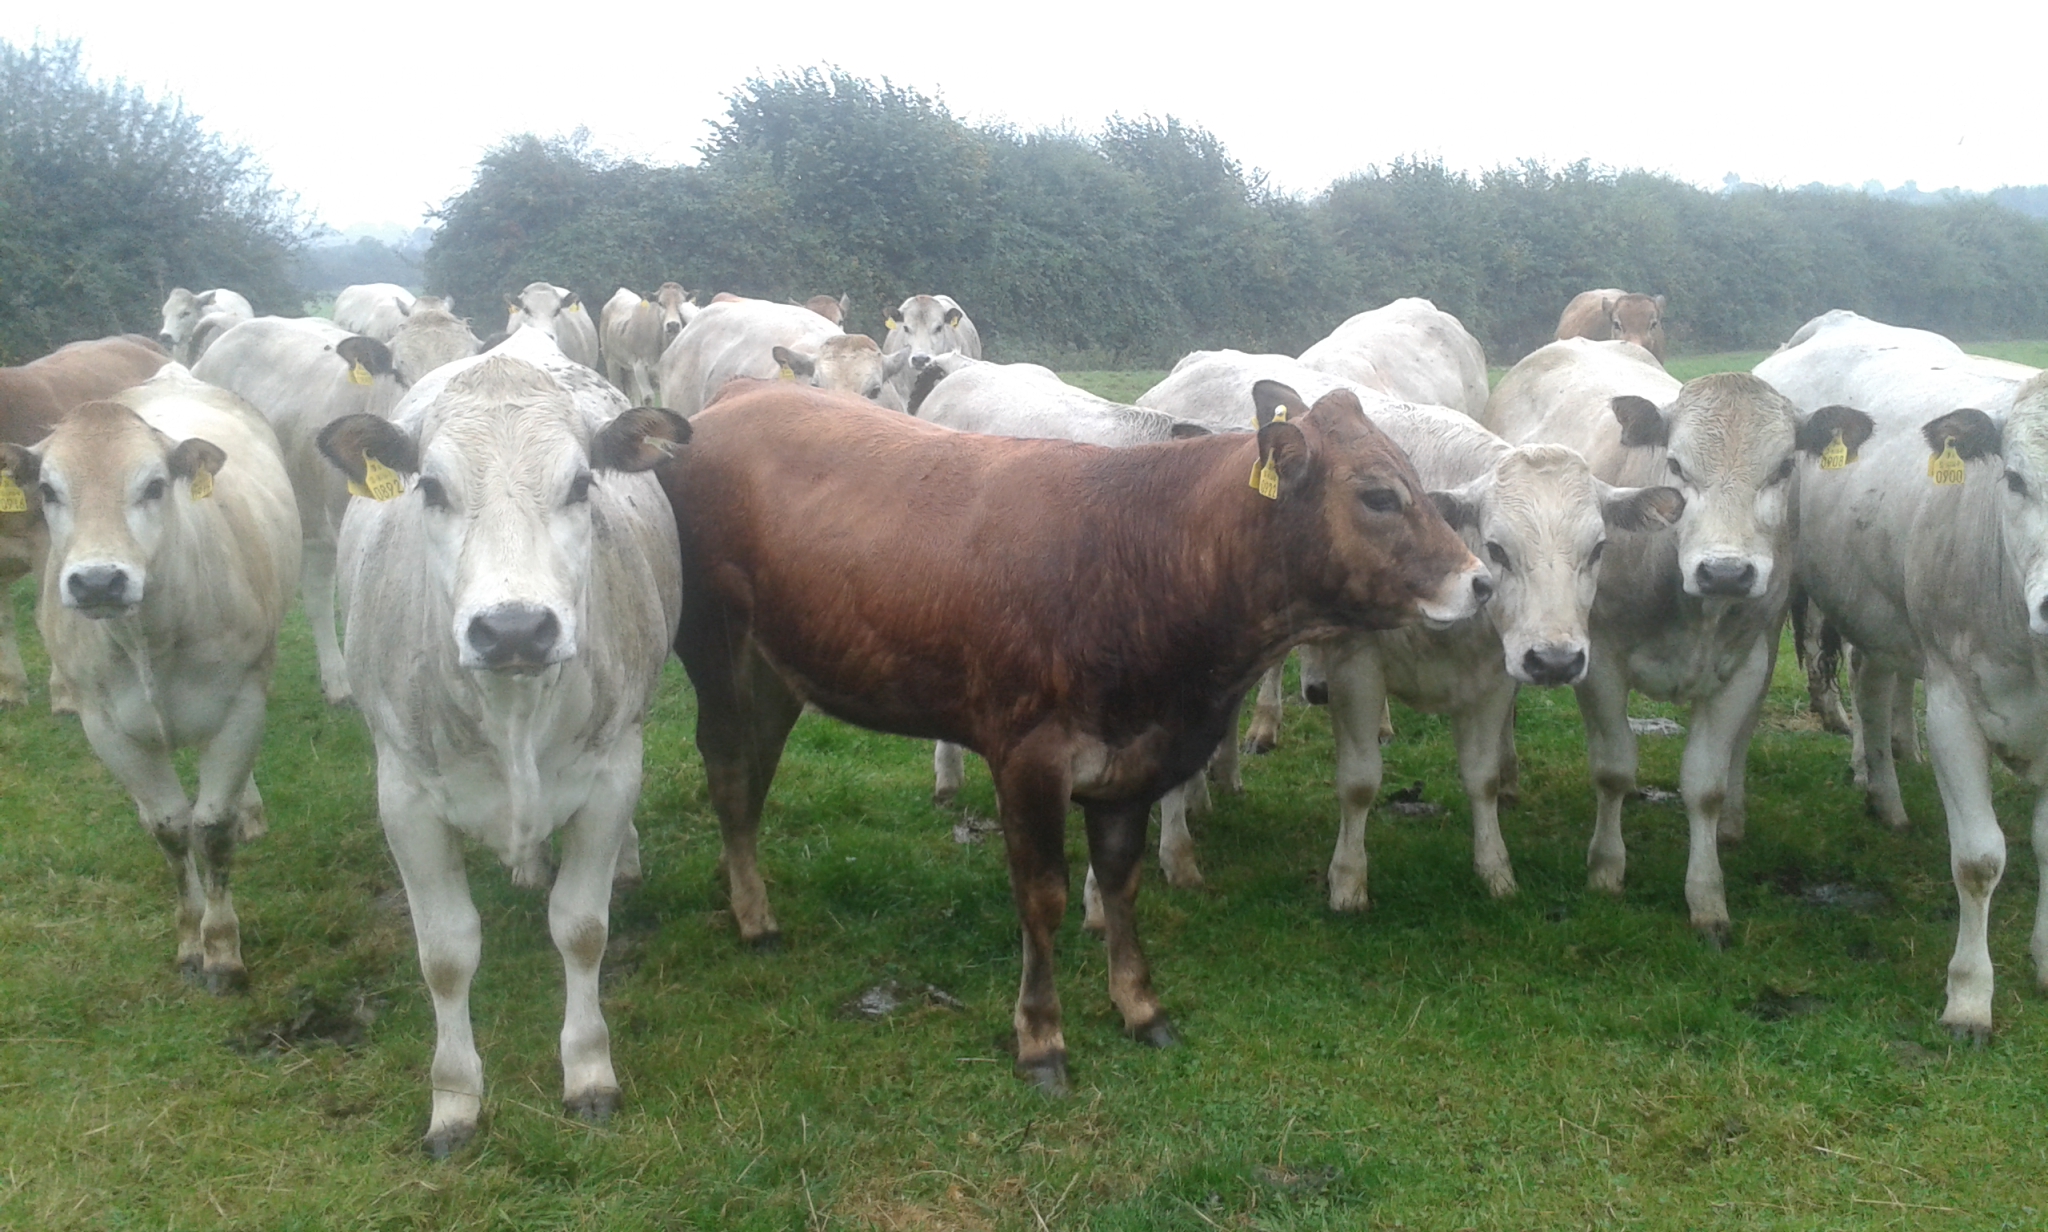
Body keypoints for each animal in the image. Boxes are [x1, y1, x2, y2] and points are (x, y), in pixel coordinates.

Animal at [316, 327, 687, 1157]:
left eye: (581, 484)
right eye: (429, 488)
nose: (514, 628)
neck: (514, 714)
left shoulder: (610, 775)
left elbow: (581, 928)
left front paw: (588, 1070)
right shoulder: (406, 798)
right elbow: (447, 954)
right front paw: (455, 1098)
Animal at [665, 377, 1489, 1094]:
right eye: (1378, 495)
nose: (1481, 581)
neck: (1139, 557)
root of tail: (737, 397)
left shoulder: (1131, 762)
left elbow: (1121, 883)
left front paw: (1141, 1007)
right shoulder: (1027, 759)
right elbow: (1044, 898)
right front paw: (1040, 1037)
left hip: (777, 670)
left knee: (752, 779)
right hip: (716, 650)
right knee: (730, 775)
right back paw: (754, 916)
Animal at [1138, 350, 1682, 909]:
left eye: (1598, 549)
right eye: (1498, 548)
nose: (1555, 661)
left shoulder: (1493, 675)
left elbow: (1482, 779)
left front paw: (1496, 872)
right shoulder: (1356, 666)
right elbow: (1359, 782)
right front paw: (1348, 882)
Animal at [1484, 338, 1870, 942]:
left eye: (1784, 467)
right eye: (1675, 465)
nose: (1726, 571)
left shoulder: (1745, 664)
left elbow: (1705, 785)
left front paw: (1707, 896)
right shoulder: (1599, 659)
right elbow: (1614, 768)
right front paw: (1606, 868)